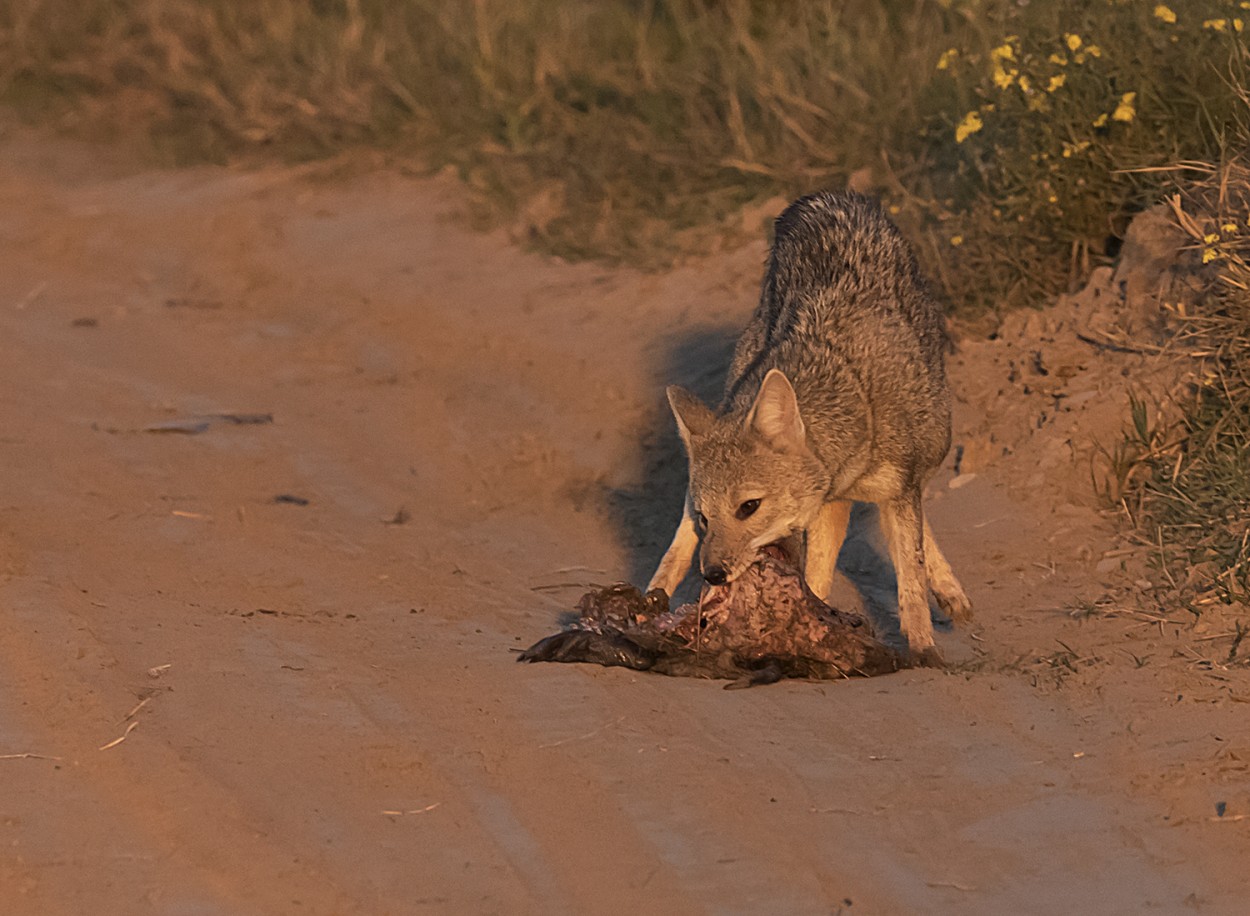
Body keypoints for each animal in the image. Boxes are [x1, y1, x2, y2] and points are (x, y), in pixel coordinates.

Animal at [650, 191, 970, 664]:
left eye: (749, 507)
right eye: (707, 517)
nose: (713, 575)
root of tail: (826, 198)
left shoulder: (887, 491)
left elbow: (909, 576)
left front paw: (923, 647)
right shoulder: (828, 506)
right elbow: (818, 580)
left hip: (930, 445)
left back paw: (949, 590)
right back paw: (656, 589)